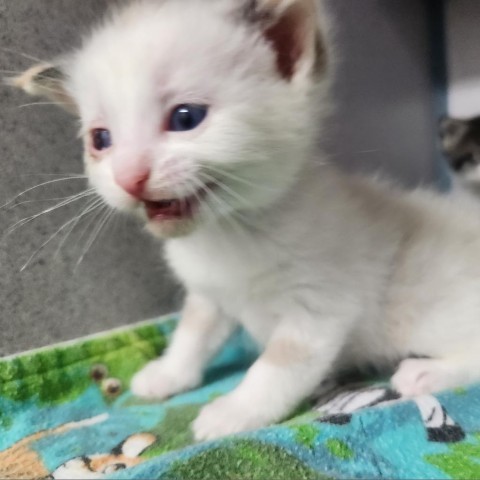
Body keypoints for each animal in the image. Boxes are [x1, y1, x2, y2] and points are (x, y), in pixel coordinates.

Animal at [13, 0, 480, 442]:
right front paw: (168, 373)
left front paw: (233, 411)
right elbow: (192, 334)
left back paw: (425, 372)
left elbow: (277, 367)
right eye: (100, 139)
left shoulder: (321, 306)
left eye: (186, 118)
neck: (231, 231)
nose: (129, 177)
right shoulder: (209, 293)